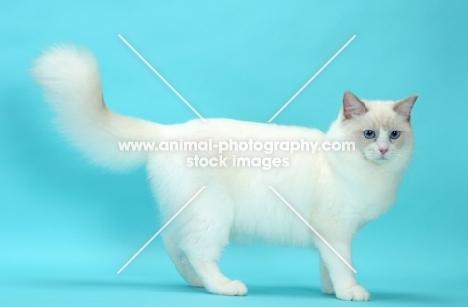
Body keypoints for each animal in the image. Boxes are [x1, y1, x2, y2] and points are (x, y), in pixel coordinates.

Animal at [33, 46, 420, 304]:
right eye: (368, 134)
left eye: (394, 135)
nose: (383, 150)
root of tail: (168, 131)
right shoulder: (335, 229)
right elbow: (344, 265)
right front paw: (349, 291)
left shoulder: (330, 234)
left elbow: (328, 265)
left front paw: (329, 290)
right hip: (213, 213)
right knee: (197, 250)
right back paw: (223, 286)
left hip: (187, 211)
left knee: (173, 244)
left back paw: (194, 283)